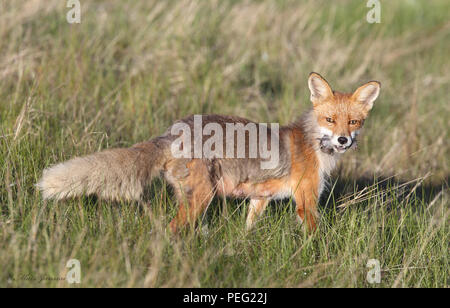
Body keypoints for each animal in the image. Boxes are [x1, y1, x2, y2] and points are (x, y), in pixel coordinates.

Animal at [37, 73, 380, 232]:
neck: (312, 144)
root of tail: (174, 130)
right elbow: (316, 237)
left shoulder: (260, 198)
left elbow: (249, 227)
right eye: (330, 120)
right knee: (173, 230)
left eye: (353, 122)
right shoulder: (306, 202)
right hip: (202, 197)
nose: (343, 140)